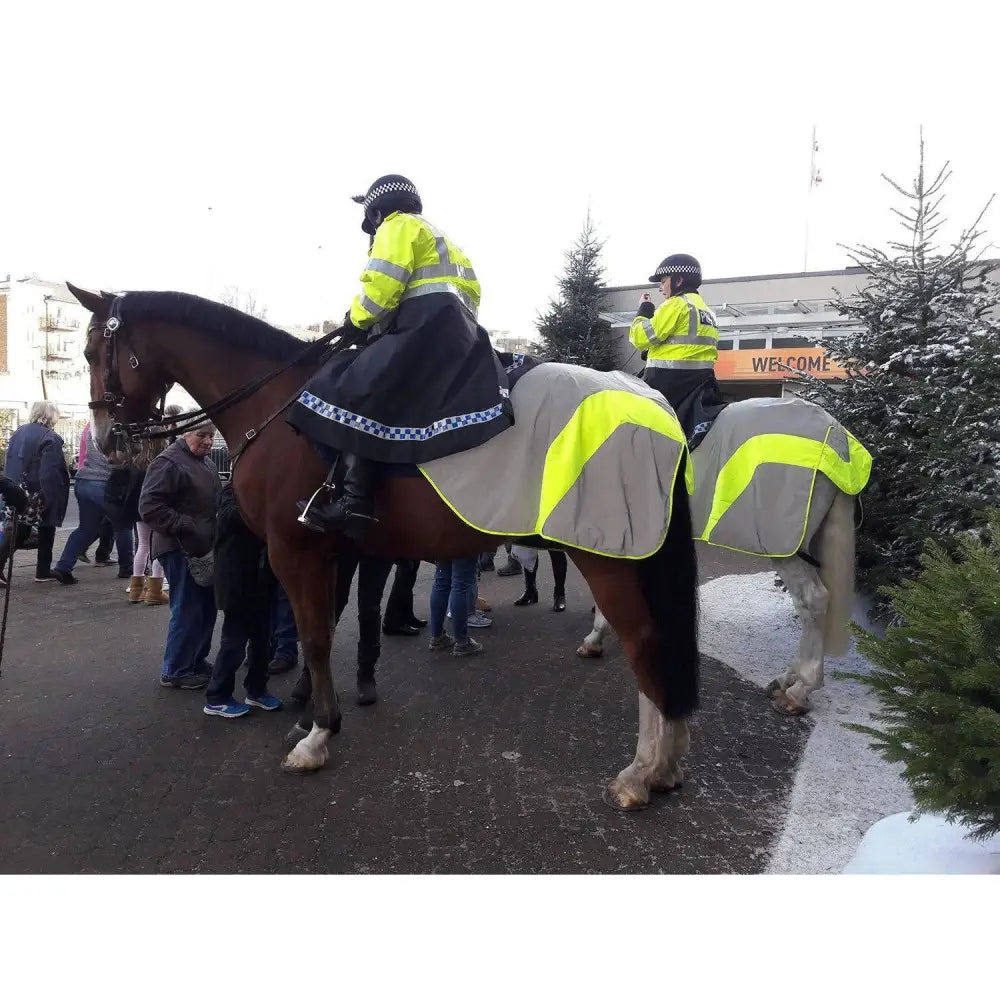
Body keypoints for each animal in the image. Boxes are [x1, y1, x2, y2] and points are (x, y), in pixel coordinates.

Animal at [68, 284, 696, 812]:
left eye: (96, 351)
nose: (106, 439)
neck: (278, 406)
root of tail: (652, 403)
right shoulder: (336, 553)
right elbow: (326, 624)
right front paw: (309, 711)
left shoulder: (294, 549)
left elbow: (316, 636)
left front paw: (318, 736)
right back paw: (667, 764)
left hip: (608, 553)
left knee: (644, 642)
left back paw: (643, 771)